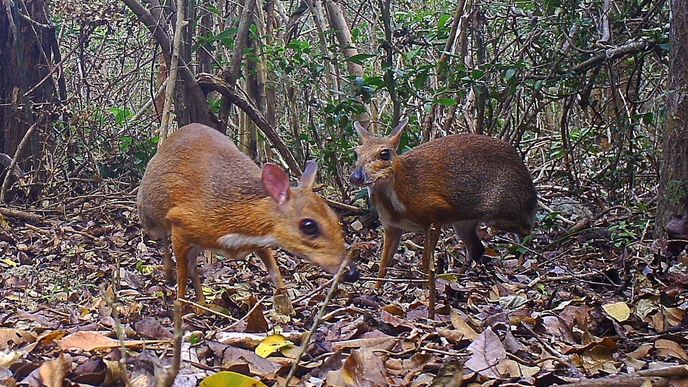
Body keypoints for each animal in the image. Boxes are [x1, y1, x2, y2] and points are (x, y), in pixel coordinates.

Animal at [138, 124, 354, 316]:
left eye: (334, 218)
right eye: (309, 226)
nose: (352, 272)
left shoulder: (260, 241)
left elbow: (275, 272)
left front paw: (289, 308)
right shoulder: (180, 222)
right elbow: (181, 275)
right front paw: (180, 307)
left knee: (192, 265)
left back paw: (202, 305)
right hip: (149, 215)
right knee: (165, 241)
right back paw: (170, 276)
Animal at [350, 119, 536, 316]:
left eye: (385, 153)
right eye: (357, 153)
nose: (356, 177)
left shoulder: (434, 215)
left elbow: (425, 262)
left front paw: (426, 292)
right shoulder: (391, 226)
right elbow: (383, 263)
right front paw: (375, 290)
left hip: (504, 212)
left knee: (527, 230)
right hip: (464, 222)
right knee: (477, 248)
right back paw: (457, 279)